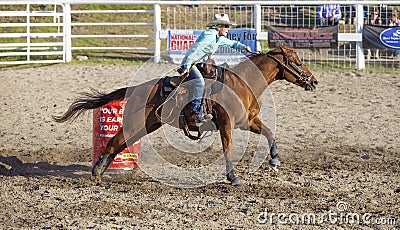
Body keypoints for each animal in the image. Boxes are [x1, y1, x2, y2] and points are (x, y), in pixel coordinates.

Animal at [53, 44, 318, 186]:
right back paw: (97, 173)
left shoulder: (248, 121)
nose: (314, 81)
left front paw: (274, 160)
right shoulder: (227, 124)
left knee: (120, 143)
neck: (244, 82)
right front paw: (233, 177)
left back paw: (100, 171)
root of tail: (136, 88)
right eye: (296, 60)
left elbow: (270, 133)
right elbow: (229, 149)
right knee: (114, 142)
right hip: (138, 122)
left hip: (149, 124)